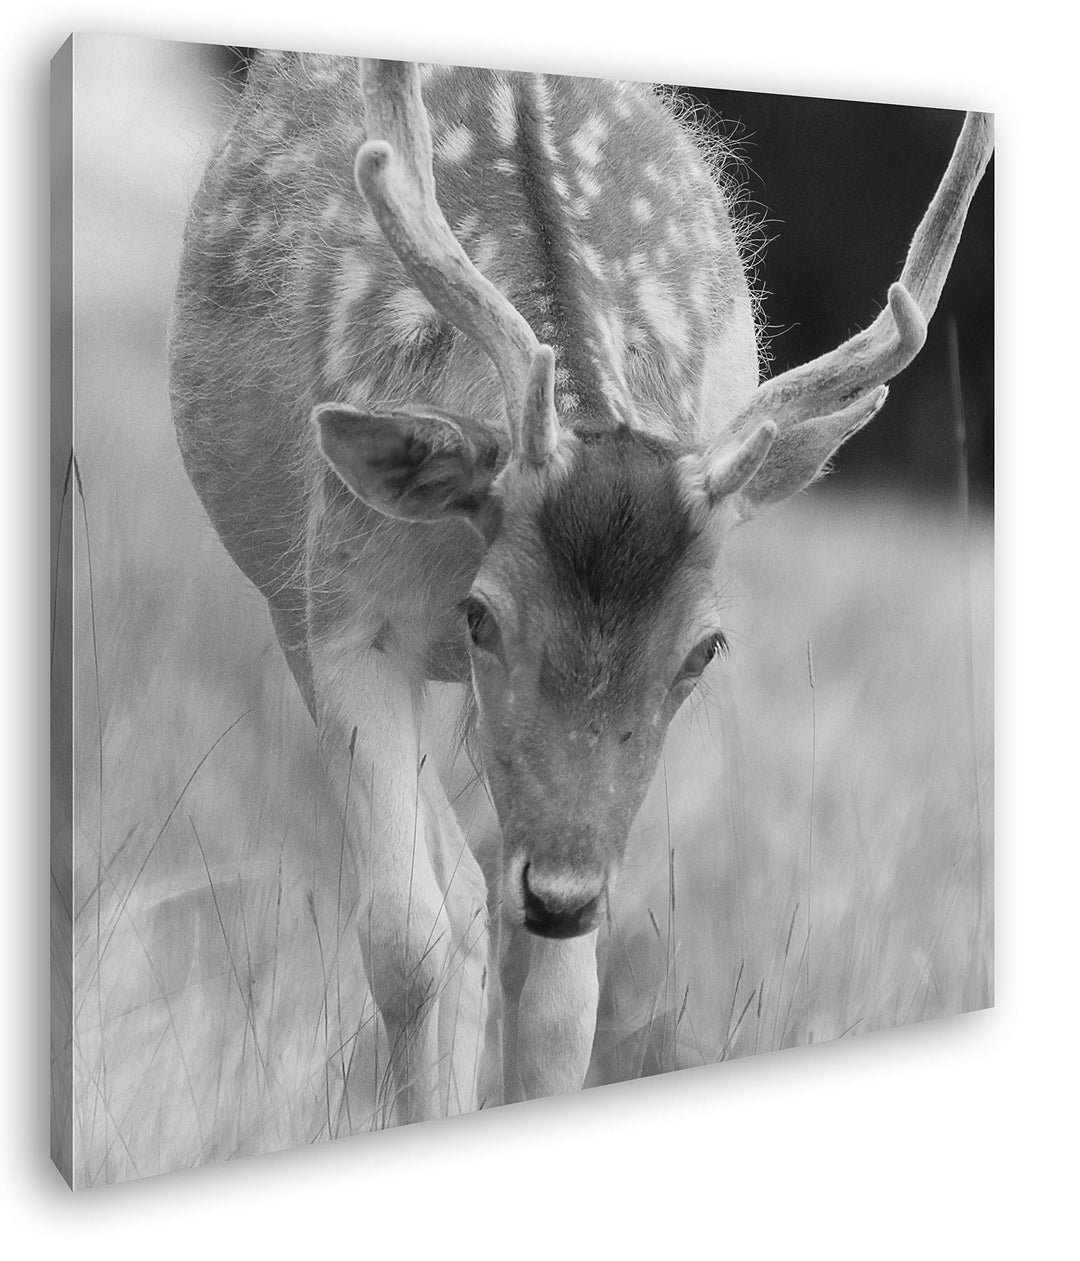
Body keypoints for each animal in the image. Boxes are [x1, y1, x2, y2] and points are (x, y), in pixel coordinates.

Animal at [169, 52, 993, 1126]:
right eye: (483, 615)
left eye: (705, 648)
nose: (562, 894)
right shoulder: (344, 608)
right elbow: (405, 941)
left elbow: (566, 1005)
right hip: (287, 603)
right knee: (457, 904)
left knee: (481, 900)